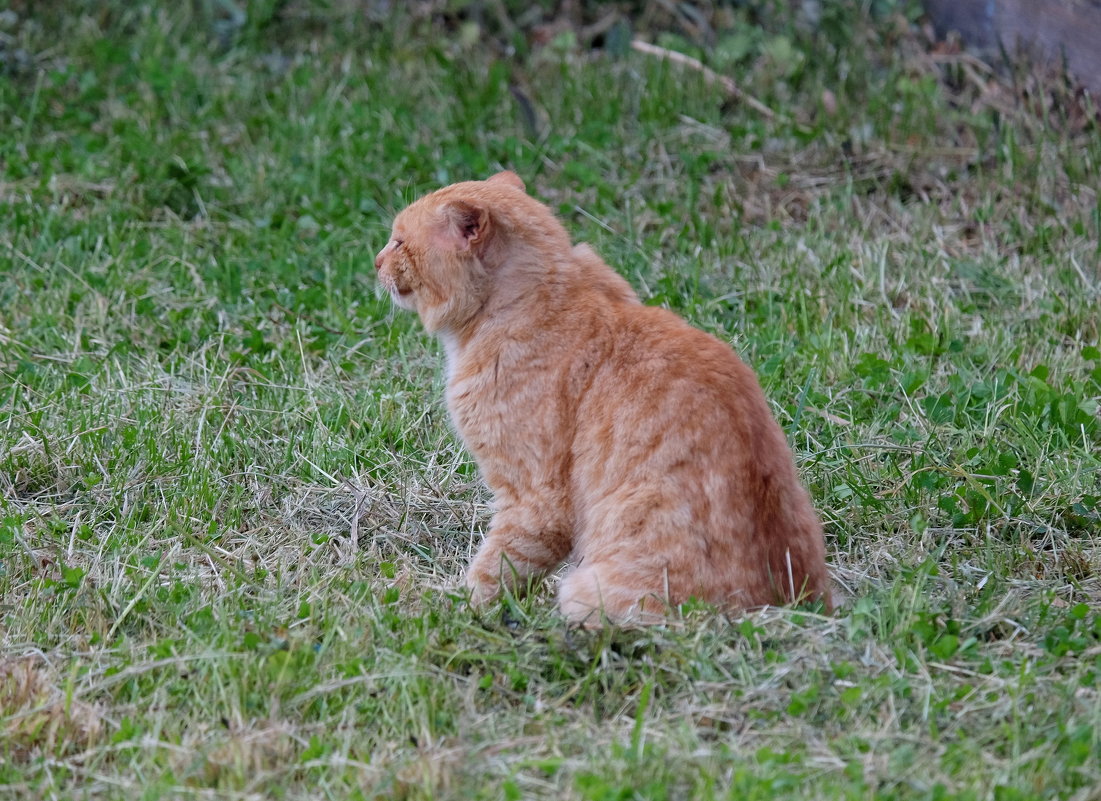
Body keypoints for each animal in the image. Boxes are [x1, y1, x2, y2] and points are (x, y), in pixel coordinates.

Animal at [374, 170, 827, 624]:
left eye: (399, 242)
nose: (375, 262)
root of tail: (790, 603)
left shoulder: (533, 501)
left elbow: (493, 570)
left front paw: (449, 608)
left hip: (584, 589)